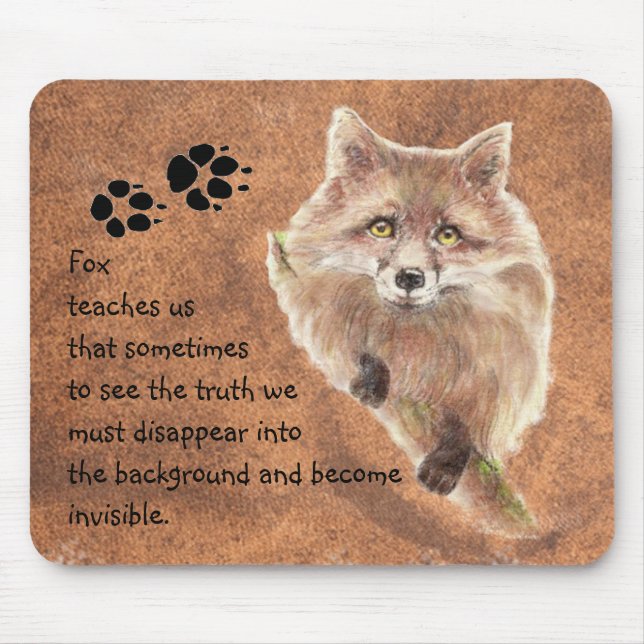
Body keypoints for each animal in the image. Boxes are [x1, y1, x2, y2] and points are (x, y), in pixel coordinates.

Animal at [267, 107, 553, 503]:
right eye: (382, 228)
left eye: (447, 235)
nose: (410, 278)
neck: (414, 340)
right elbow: (360, 349)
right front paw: (373, 377)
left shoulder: (501, 370)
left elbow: (466, 423)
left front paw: (447, 461)